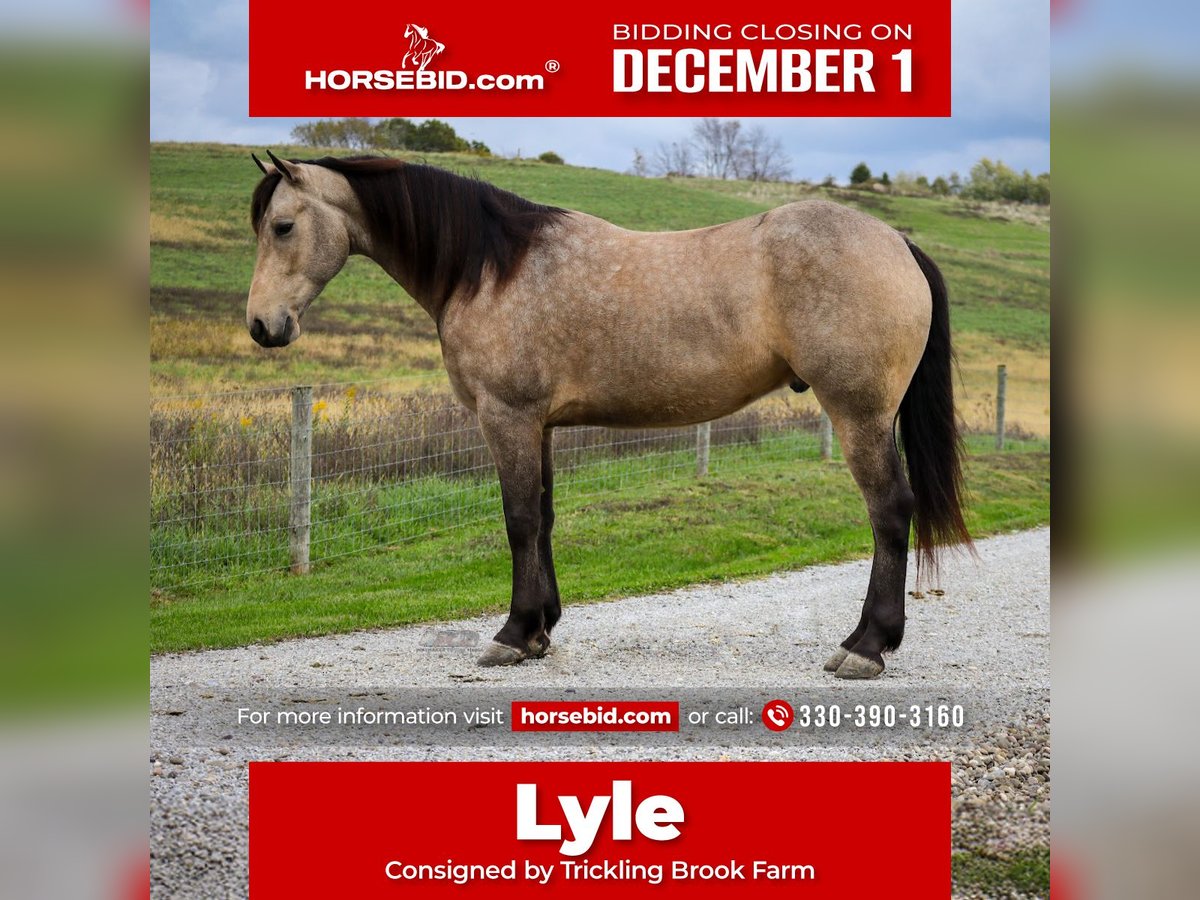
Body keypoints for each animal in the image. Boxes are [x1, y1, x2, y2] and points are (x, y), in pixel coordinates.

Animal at [246, 151, 971, 679]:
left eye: (282, 226)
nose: (262, 326)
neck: (492, 267)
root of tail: (898, 243)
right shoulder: (537, 425)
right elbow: (542, 518)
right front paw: (541, 628)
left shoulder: (506, 417)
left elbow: (517, 520)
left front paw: (513, 633)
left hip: (859, 415)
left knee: (889, 511)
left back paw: (866, 645)